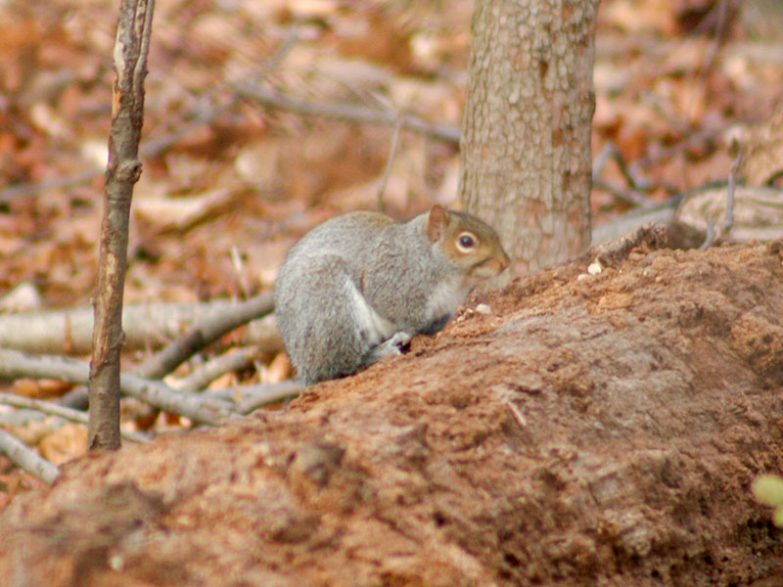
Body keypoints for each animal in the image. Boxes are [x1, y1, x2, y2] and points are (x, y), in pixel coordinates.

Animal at [272, 207, 512, 386]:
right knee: (341, 366)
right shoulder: (390, 280)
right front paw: (413, 332)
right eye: (466, 242)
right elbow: (399, 312)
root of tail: (304, 367)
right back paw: (381, 351)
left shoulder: (444, 310)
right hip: (330, 306)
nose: (505, 263)